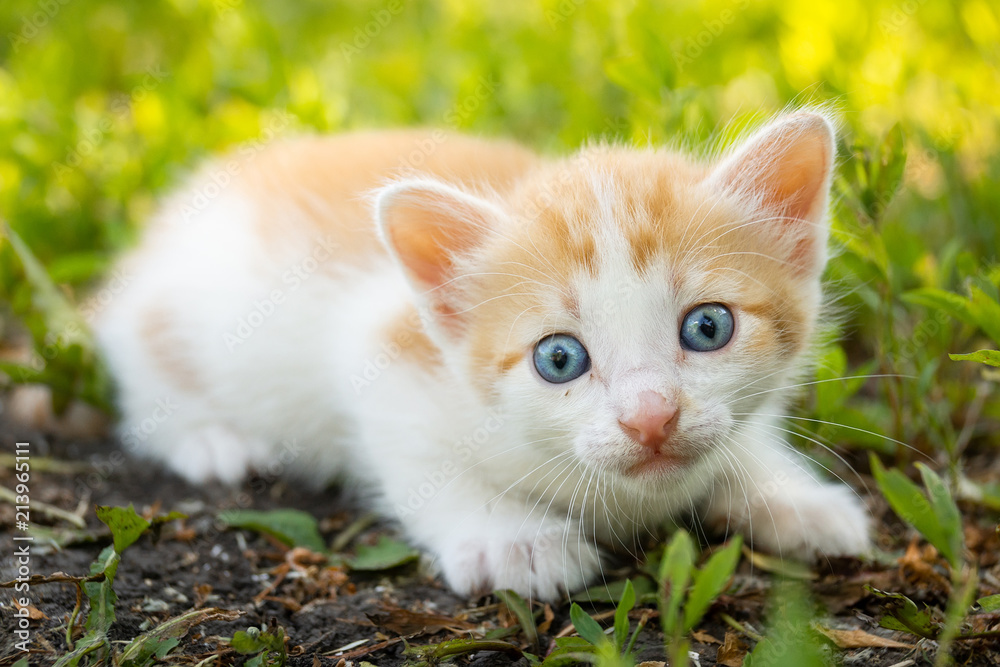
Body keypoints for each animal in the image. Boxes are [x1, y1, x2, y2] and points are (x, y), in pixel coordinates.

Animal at [97, 112, 872, 604]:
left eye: (708, 327)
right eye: (558, 359)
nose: (651, 418)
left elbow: (743, 437)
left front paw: (793, 495)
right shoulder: (383, 354)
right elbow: (421, 465)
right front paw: (514, 539)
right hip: (164, 321)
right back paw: (211, 439)